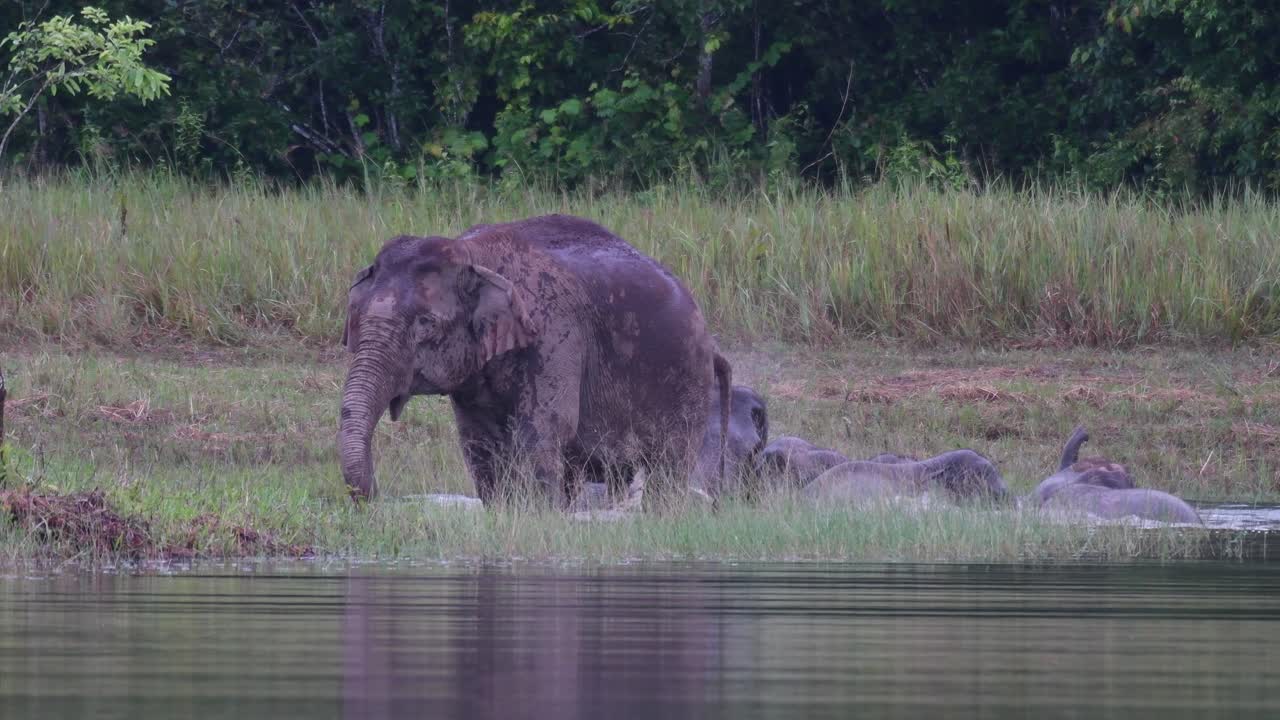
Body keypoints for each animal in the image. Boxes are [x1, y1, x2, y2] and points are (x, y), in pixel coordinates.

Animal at [337, 214, 731, 507]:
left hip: (687, 380)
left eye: (427, 324)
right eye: (354, 317)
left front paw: (541, 516)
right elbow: (480, 442)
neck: (472, 253)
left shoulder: (555, 332)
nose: (377, 495)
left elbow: (545, 429)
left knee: (669, 468)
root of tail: (712, 343)